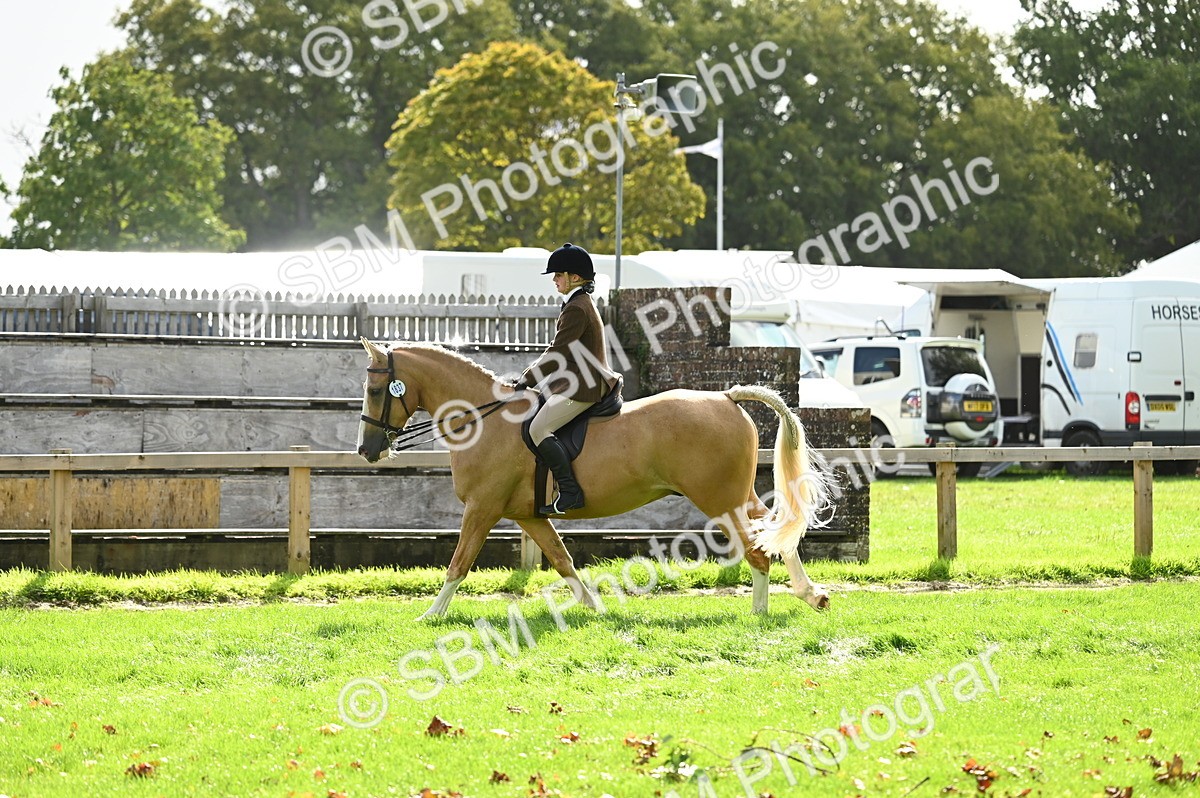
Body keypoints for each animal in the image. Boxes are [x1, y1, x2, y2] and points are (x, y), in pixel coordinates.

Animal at [355, 339, 833, 619]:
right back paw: (811, 595)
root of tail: (726, 396)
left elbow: (458, 563)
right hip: (736, 494)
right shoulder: (528, 516)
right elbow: (562, 559)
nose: (367, 450)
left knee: (757, 550)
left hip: (718, 498)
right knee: (775, 531)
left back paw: (760, 613)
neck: (484, 419)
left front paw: (430, 616)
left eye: (376, 390)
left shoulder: (482, 508)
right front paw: (594, 607)